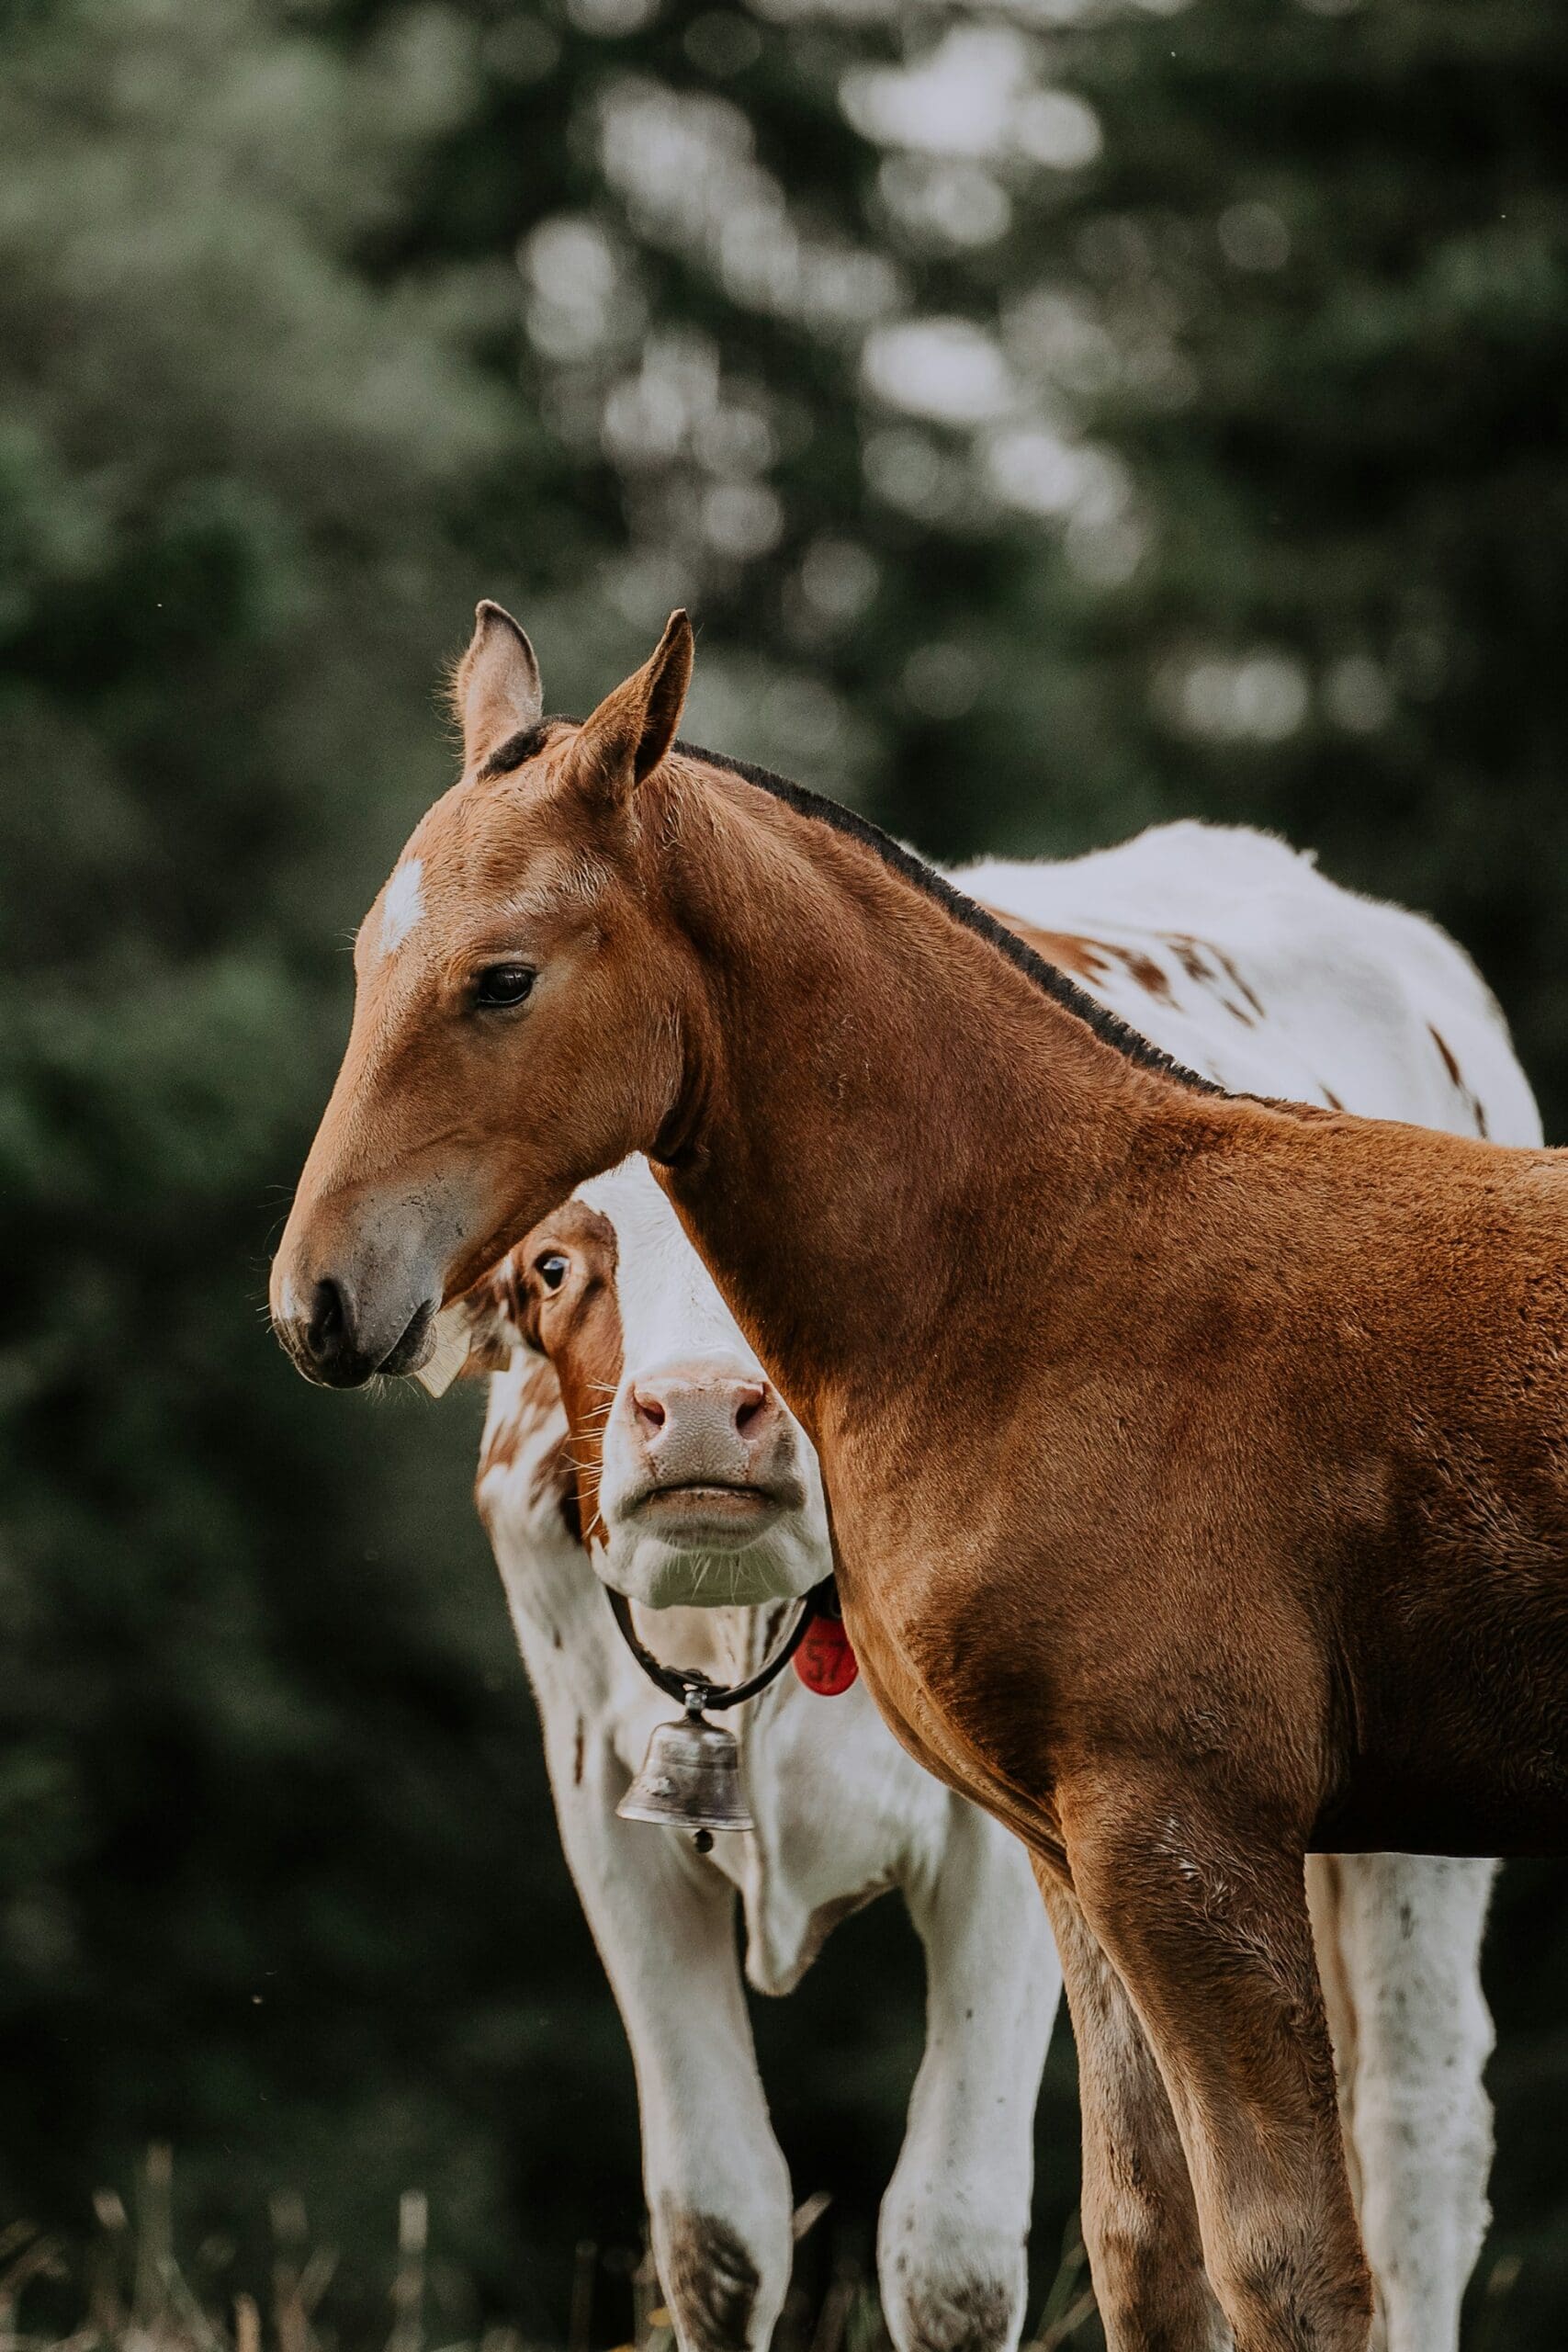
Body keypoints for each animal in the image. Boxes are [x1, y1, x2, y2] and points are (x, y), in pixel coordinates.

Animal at [274, 605, 1568, 2352]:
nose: (319, 1298)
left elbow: (1276, 2266)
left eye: (503, 979)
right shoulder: (1058, 1847)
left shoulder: (1173, 1829)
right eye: (367, 962)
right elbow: (1133, 2242)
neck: (1041, 1261)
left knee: (1418, 2156)